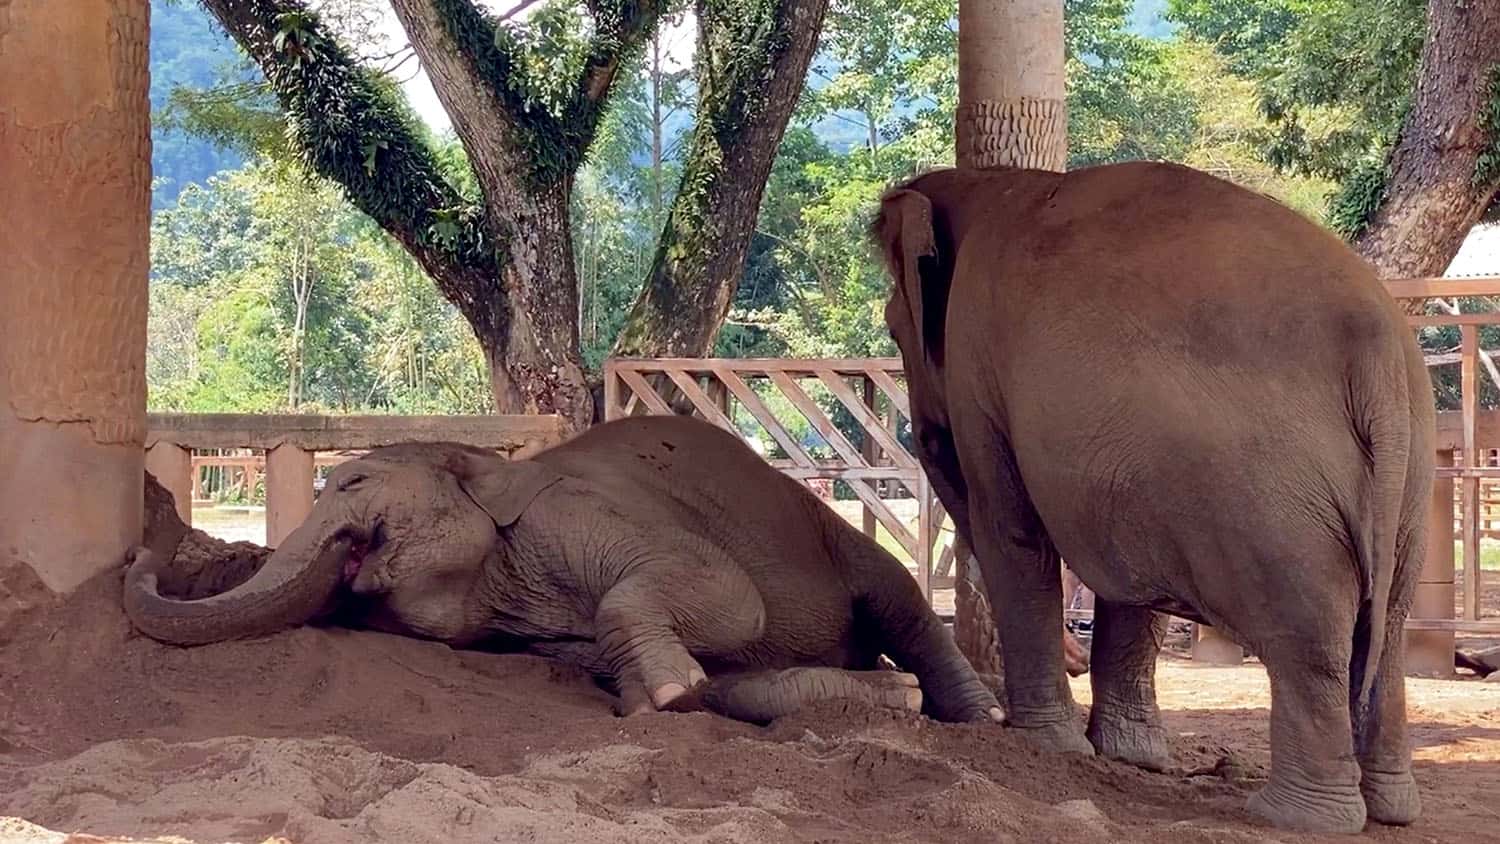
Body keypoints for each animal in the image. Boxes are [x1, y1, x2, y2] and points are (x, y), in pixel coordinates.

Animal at [122, 414, 1004, 727]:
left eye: (353, 481)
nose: (142, 544)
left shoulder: (582, 512)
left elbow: (731, 598)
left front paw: (668, 694)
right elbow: (712, 673)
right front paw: (666, 696)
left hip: (830, 531)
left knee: (901, 602)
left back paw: (975, 715)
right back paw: (890, 697)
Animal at [872, 161, 1434, 834]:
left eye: (892, 327)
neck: (991, 182)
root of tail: (1381, 353)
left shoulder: (977, 362)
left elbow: (1015, 534)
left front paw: (1046, 745)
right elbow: (1125, 563)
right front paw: (1126, 756)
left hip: (1275, 501)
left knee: (1311, 641)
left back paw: (1296, 817)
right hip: (1408, 487)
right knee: (1388, 626)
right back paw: (1391, 810)